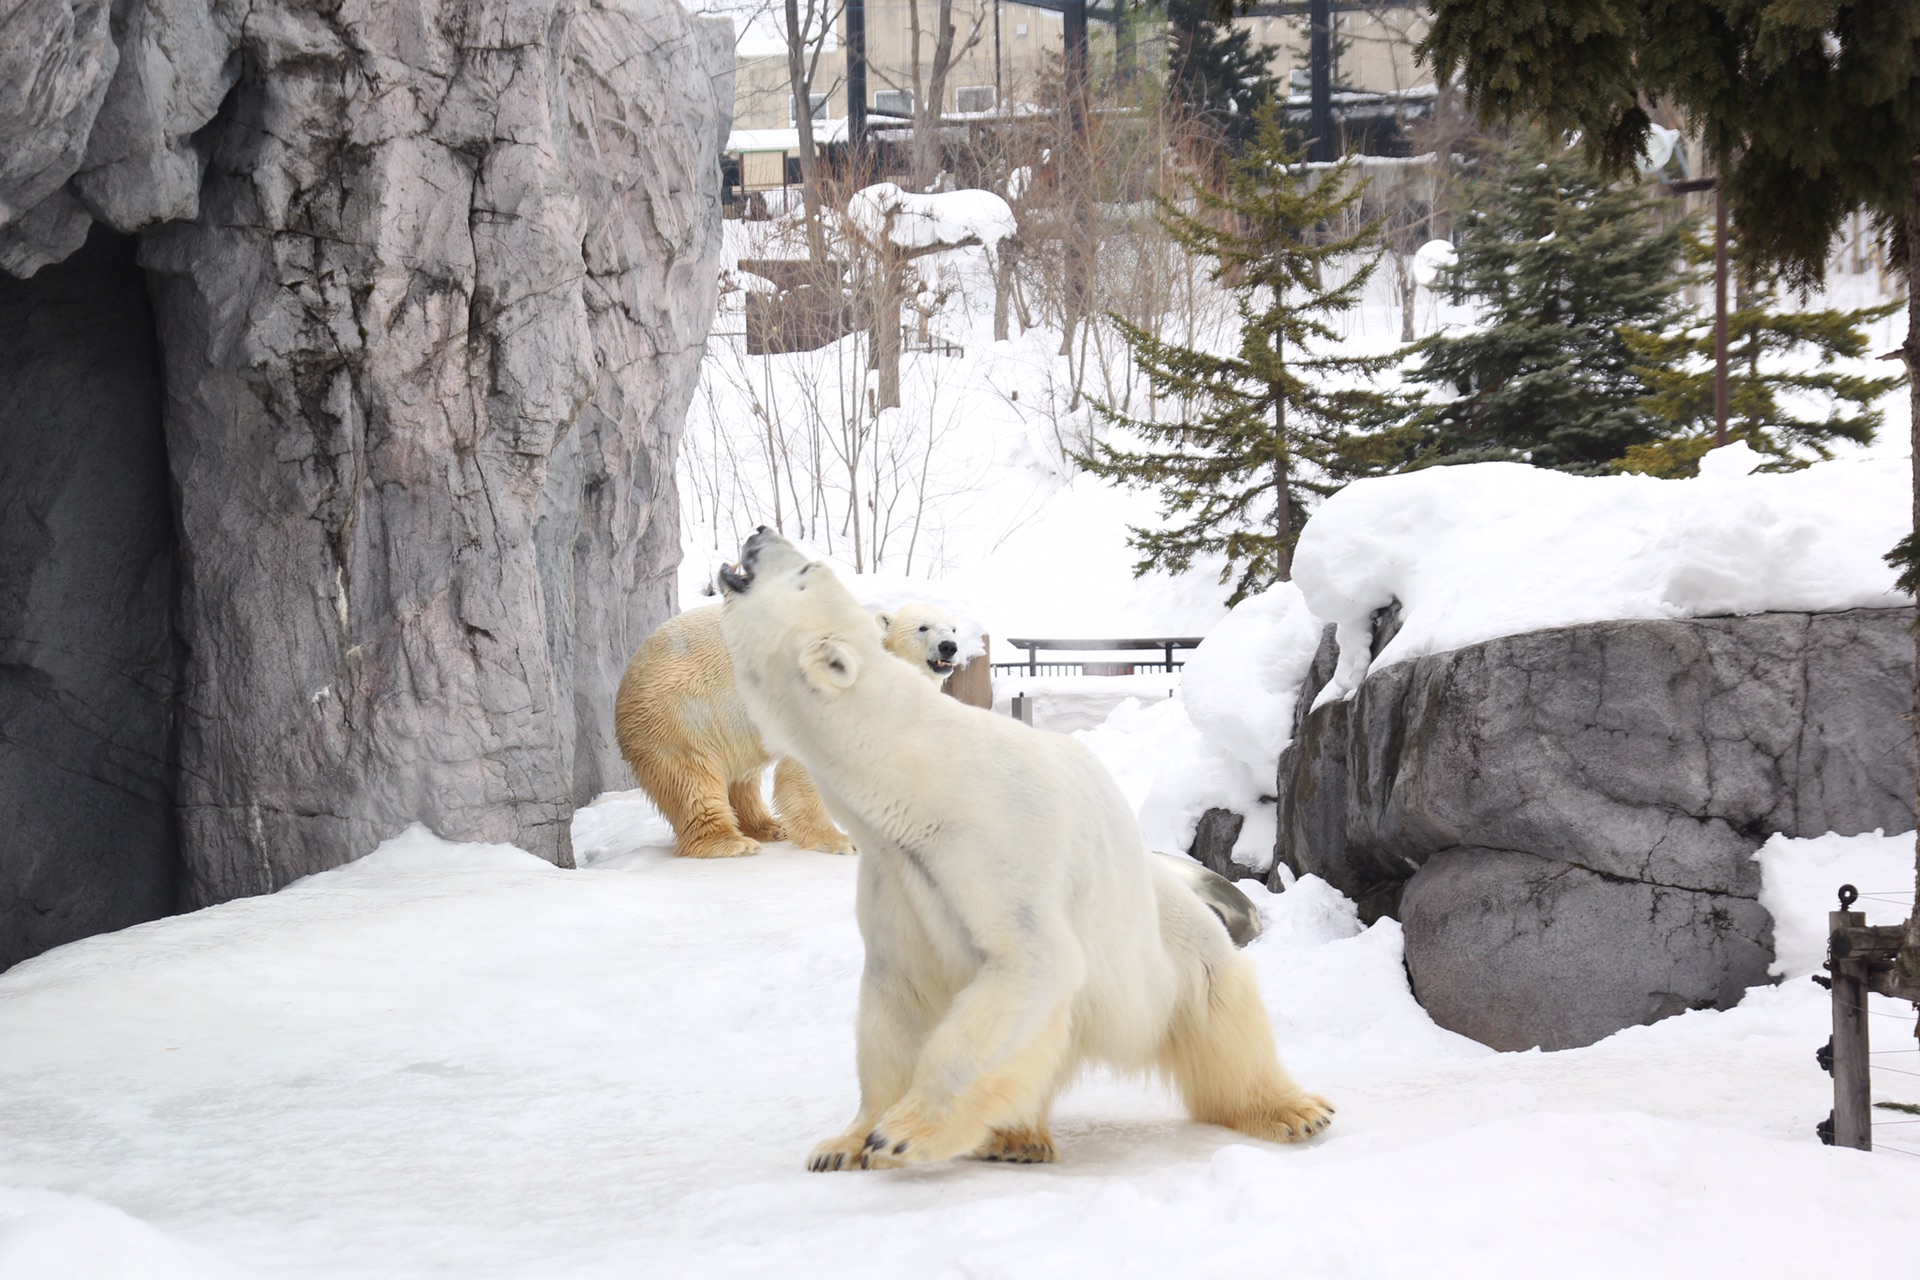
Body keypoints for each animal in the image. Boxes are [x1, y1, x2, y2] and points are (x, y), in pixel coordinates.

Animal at [614, 602, 952, 859]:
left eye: (953, 627)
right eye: (923, 627)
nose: (949, 647)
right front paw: (839, 841)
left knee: (742, 777)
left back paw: (769, 827)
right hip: (679, 716)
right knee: (691, 778)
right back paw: (731, 842)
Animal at [721, 529, 1336, 1174]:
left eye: (806, 570)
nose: (759, 533)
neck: (922, 782)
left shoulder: (995, 848)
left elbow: (1031, 965)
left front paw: (904, 1132)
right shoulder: (897, 874)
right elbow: (898, 1000)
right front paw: (843, 1144)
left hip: (1170, 949)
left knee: (1222, 1012)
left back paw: (1294, 1111)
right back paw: (1016, 1138)